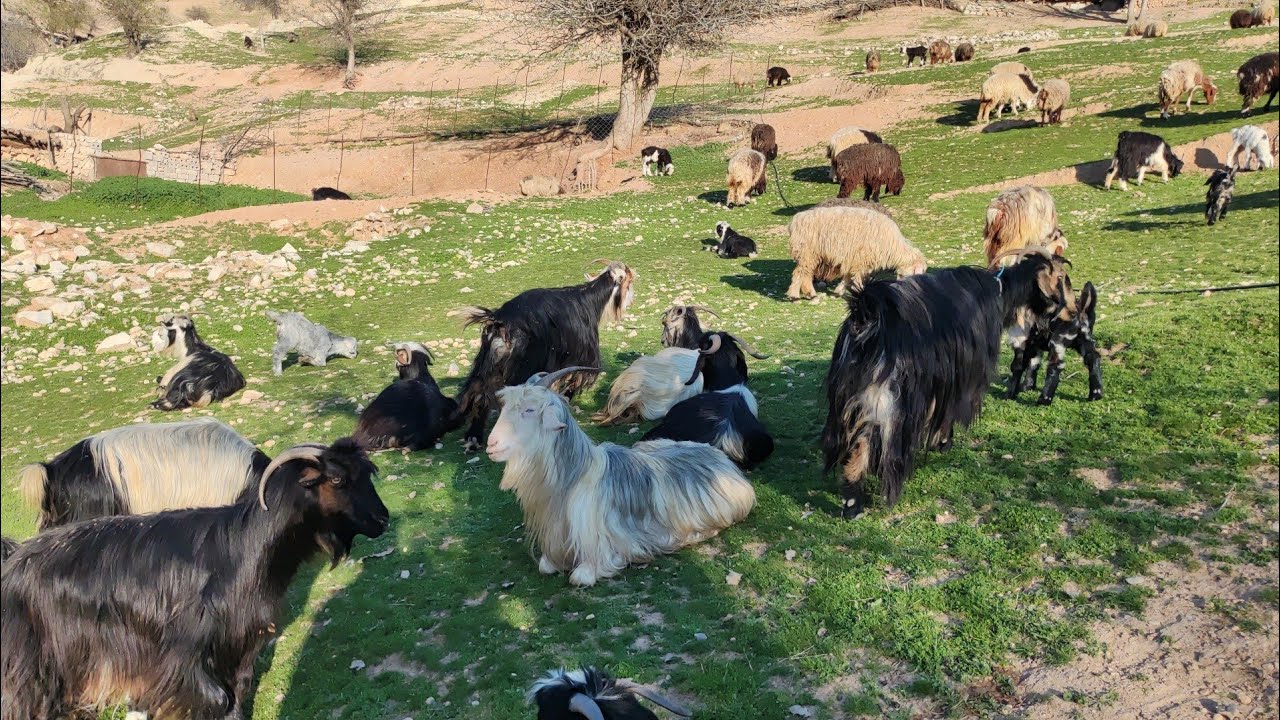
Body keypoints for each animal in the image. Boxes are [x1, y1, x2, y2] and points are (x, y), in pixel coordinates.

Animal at [1, 439, 388, 720]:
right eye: (337, 480)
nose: (382, 519)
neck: (242, 548)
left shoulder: (241, 644)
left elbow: (238, 693)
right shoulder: (183, 653)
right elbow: (215, 698)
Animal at [453, 260, 636, 451]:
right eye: (629, 281)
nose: (632, 298)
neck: (589, 301)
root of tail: (500, 323)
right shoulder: (581, 357)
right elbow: (572, 380)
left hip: (489, 361)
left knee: (478, 391)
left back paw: (473, 437)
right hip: (522, 364)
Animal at [486, 367, 755, 587]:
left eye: (530, 410)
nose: (491, 444)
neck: (572, 480)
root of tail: (722, 458)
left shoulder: (606, 552)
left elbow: (579, 577)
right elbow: (545, 566)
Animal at [785, 205, 927, 301]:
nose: (900, 290)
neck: (893, 247)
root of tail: (795, 220)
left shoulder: (854, 259)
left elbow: (848, 277)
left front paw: (839, 291)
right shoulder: (861, 260)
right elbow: (857, 278)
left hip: (811, 255)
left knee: (806, 274)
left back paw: (811, 294)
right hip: (807, 252)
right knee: (800, 273)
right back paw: (794, 296)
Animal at [824, 250, 1074, 517]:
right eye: (1061, 277)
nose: (1071, 311)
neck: (999, 292)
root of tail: (866, 317)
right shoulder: (959, 378)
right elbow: (947, 413)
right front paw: (943, 443)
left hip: (852, 396)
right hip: (890, 398)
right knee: (868, 440)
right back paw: (858, 503)